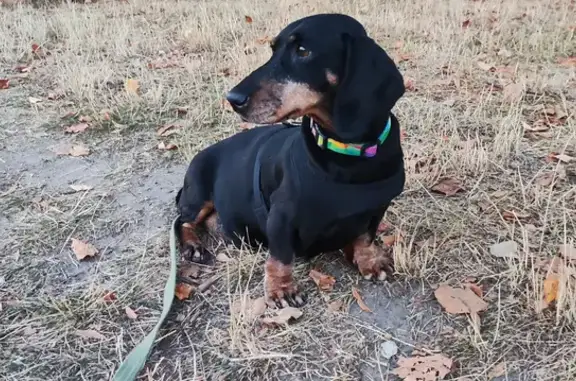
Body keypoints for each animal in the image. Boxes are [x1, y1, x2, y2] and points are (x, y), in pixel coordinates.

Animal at [176, 13, 404, 308]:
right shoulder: (281, 216)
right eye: (273, 49)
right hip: (199, 195)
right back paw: (193, 245)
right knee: (182, 221)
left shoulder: (377, 208)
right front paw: (281, 288)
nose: (233, 99)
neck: (347, 155)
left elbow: (365, 235)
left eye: (303, 51)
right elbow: (280, 256)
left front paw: (369, 260)